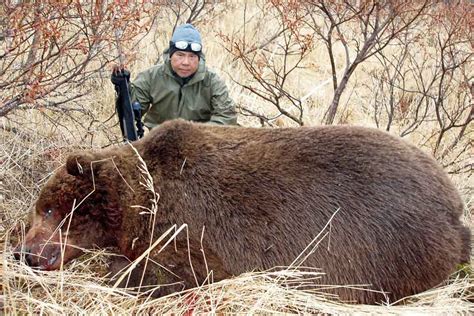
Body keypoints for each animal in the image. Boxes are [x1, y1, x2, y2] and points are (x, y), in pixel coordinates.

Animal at [14, 118, 470, 304]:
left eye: (50, 209)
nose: (24, 253)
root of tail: (455, 208)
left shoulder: (190, 227)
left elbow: (165, 272)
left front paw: (118, 270)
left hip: (389, 247)